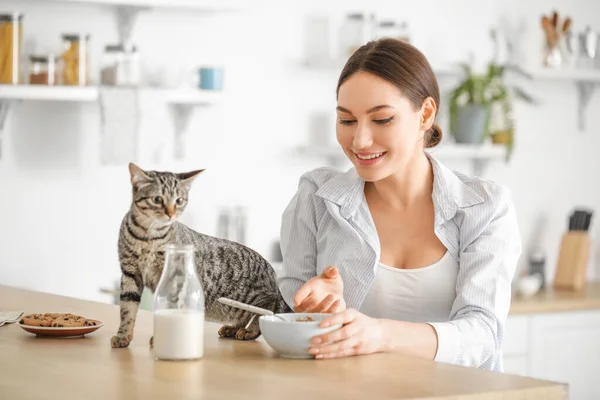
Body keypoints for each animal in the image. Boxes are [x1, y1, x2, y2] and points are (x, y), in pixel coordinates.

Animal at [112, 162, 292, 346]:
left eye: (179, 201)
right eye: (157, 199)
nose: (171, 213)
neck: (147, 236)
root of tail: (274, 276)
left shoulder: (174, 277)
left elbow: (170, 308)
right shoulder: (129, 273)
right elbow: (127, 310)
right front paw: (123, 336)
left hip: (259, 299)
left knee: (263, 313)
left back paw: (250, 331)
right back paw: (232, 329)